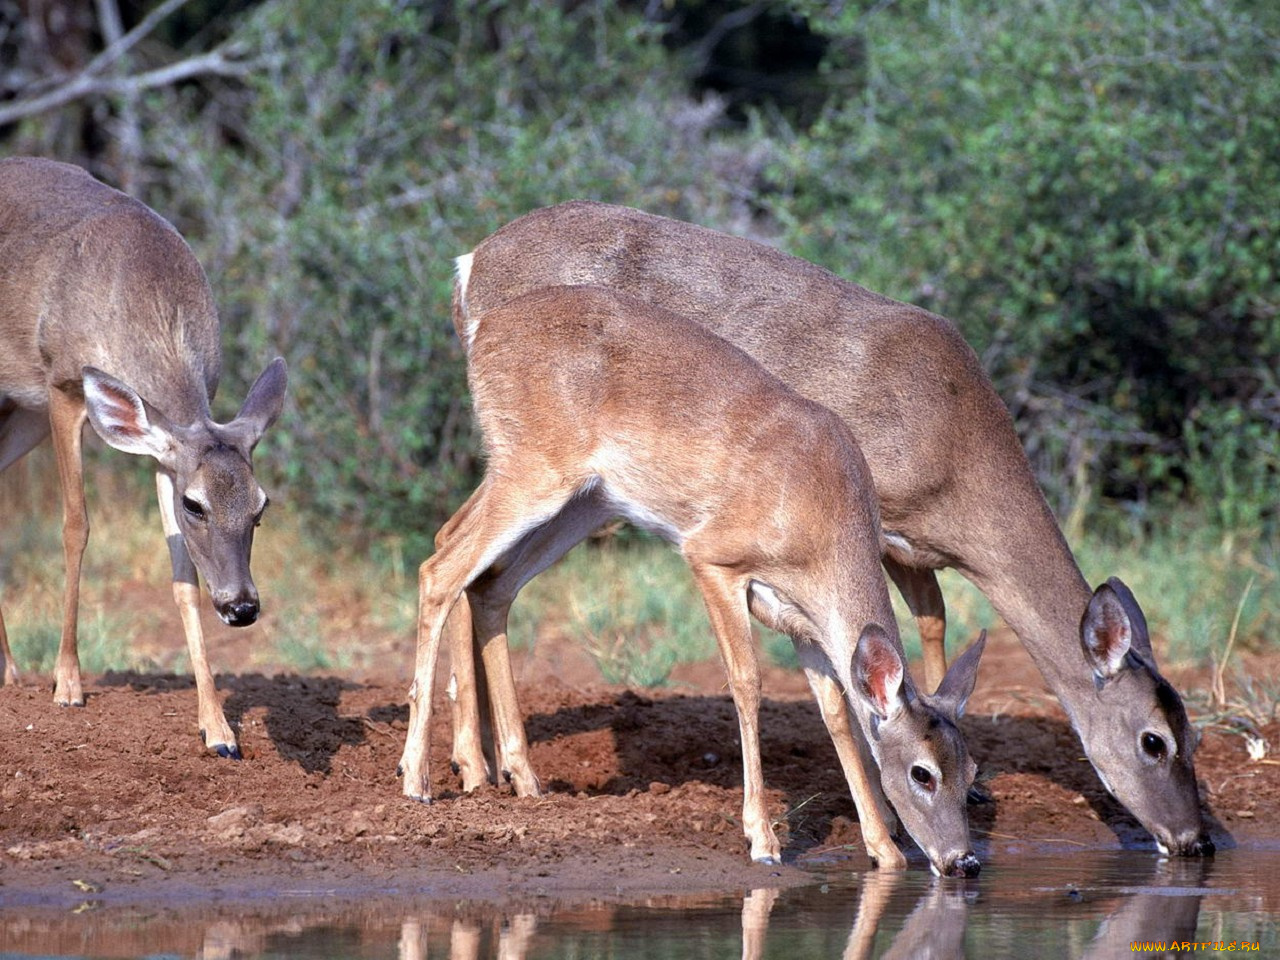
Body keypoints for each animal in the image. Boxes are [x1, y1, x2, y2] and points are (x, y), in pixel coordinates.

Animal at [0, 156, 285, 757]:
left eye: (261, 506)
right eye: (197, 505)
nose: (243, 607)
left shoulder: (162, 449)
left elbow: (182, 575)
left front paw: (218, 729)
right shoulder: (63, 385)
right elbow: (76, 525)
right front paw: (67, 684)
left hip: (22, 412)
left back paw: (9, 670)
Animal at [399, 284, 988, 880]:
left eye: (972, 773)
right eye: (922, 772)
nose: (963, 861)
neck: (821, 524)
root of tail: (485, 331)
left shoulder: (801, 622)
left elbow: (837, 713)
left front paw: (884, 850)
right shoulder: (713, 558)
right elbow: (747, 683)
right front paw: (763, 839)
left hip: (582, 501)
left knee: (488, 580)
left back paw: (524, 778)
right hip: (533, 469)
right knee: (440, 569)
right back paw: (417, 778)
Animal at [445, 199, 1213, 860]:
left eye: (1195, 736)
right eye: (1154, 741)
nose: (1196, 840)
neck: (955, 449)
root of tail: (469, 261)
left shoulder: (910, 548)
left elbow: (926, 628)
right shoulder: (878, 524)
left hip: (590, 493)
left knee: (483, 571)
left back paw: (500, 768)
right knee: (456, 549)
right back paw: (469, 766)